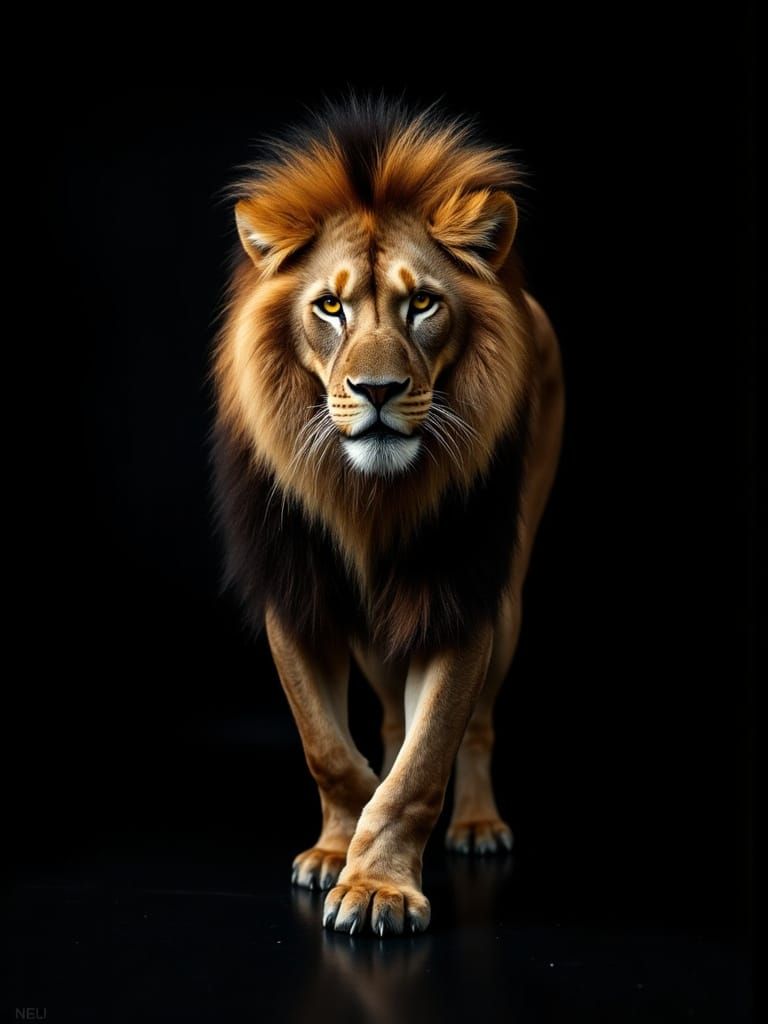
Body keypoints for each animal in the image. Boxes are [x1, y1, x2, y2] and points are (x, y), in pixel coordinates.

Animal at [213, 99, 564, 936]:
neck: (365, 499)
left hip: (508, 599)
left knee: (475, 726)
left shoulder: (462, 598)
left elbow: (426, 760)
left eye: (423, 303)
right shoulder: (296, 595)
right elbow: (329, 748)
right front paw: (337, 851)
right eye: (330, 306)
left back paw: (475, 825)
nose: (376, 390)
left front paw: (379, 887)